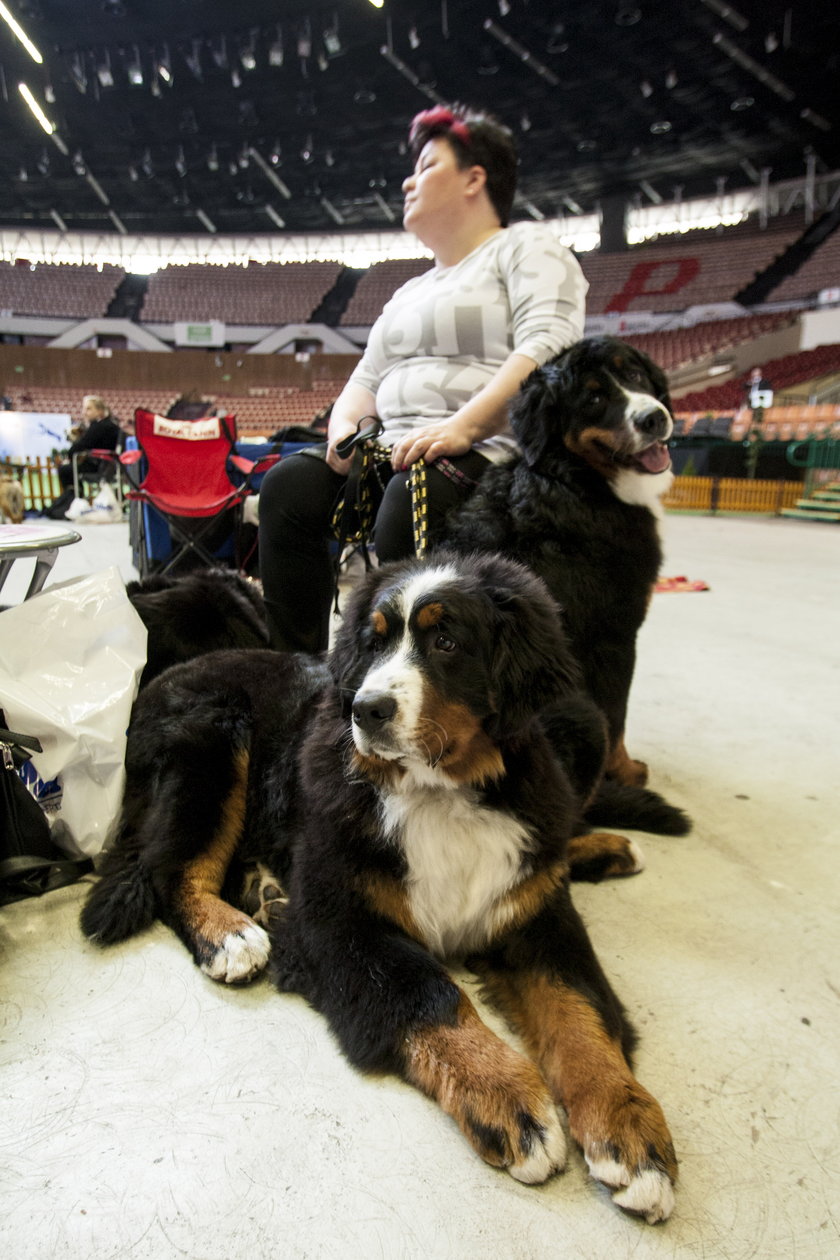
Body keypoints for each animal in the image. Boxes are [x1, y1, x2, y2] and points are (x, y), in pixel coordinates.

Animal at [83, 551, 685, 1219]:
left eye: (446, 641)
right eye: (373, 644)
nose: (365, 710)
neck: (445, 793)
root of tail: (165, 675)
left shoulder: (536, 914)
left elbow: (582, 1012)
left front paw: (630, 1130)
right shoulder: (338, 916)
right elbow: (431, 995)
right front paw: (510, 1100)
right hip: (215, 739)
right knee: (171, 868)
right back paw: (230, 933)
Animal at [445, 335, 675, 786]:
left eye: (635, 375)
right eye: (594, 397)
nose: (653, 418)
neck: (572, 480)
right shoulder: (615, 636)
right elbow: (616, 717)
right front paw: (626, 771)